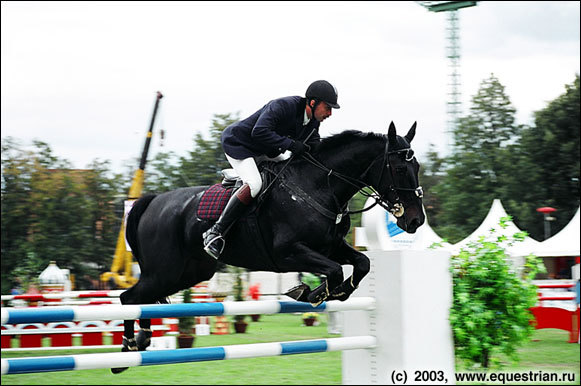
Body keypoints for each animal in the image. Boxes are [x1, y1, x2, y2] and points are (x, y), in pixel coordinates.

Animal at [111, 121, 424, 374]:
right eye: (398, 168)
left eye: (417, 167)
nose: (415, 220)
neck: (318, 185)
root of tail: (152, 201)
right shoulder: (288, 253)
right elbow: (334, 271)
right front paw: (311, 293)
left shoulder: (330, 246)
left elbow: (362, 264)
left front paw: (336, 291)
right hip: (165, 271)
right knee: (129, 298)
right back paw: (127, 350)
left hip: (188, 272)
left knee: (145, 299)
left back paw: (142, 340)